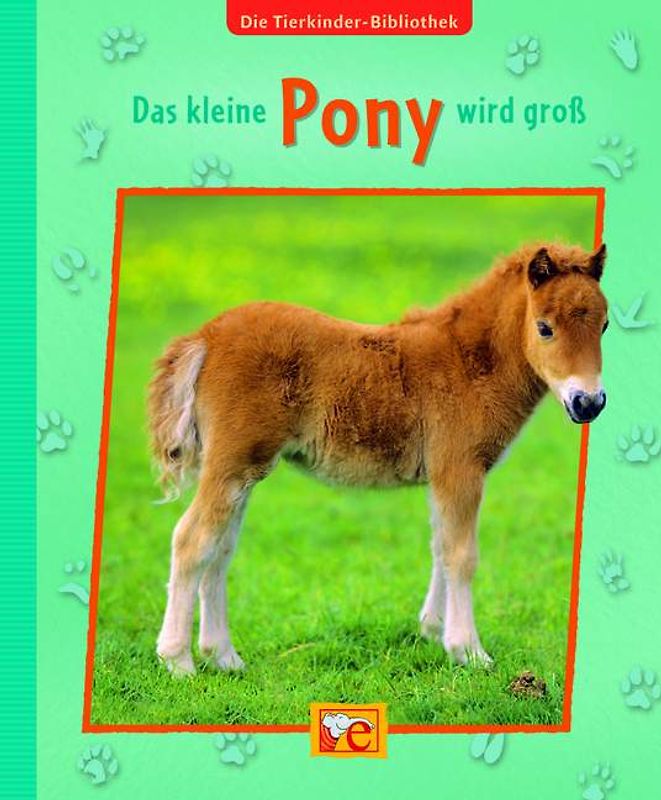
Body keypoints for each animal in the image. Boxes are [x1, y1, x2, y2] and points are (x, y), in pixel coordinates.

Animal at [149, 241, 608, 676]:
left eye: (604, 325)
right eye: (544, 328)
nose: (588, 402)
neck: (469, 362)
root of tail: (205, 337)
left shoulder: (442, 477)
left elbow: (440, 546)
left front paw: (432, 631)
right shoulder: (460, 469)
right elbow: (461, 555)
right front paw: (468, 652)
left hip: (241, 469)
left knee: (220, 548)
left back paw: (223, 657)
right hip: (233, 464)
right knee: (192, 540)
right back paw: (179, 661)